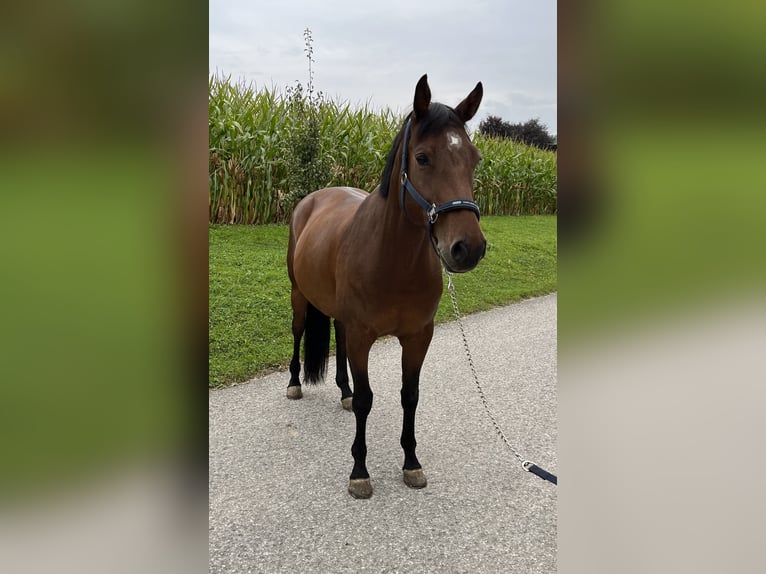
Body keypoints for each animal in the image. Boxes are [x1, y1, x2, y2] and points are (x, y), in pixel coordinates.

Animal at [284, 75, 488, 500]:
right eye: (423, 157)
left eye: (474, 159)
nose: (468, 248)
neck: (394, 260)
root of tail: (312, 199)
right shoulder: (364, 336)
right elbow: (367, 400)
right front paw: (359, 471)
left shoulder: (418, 337)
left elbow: (409, 397)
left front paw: (411, 462)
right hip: (299, 295)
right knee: (297, 332)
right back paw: (294, 383)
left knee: (338, 336)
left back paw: (342, 391)